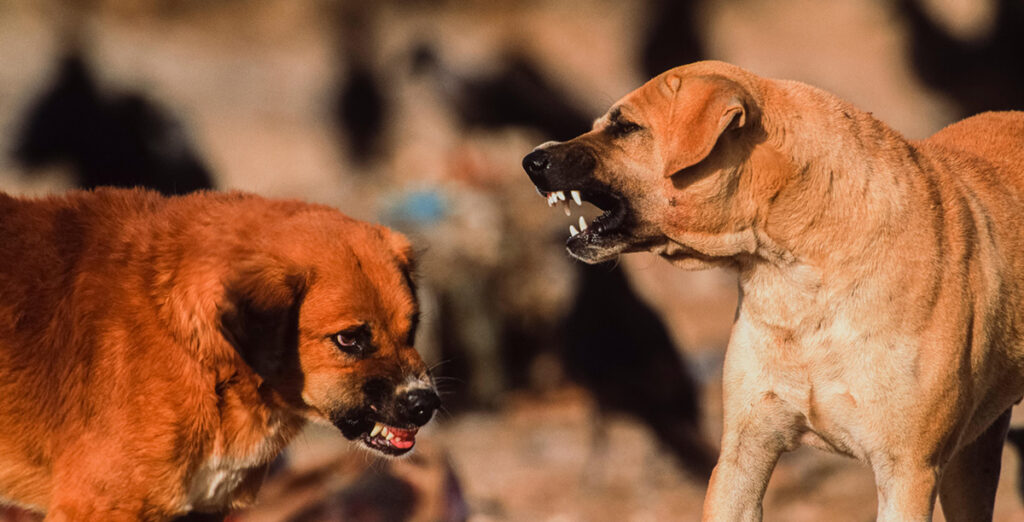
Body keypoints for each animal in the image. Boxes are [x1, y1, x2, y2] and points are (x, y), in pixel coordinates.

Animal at [524, 60, 1024, 517]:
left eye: (625, 127)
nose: (531, 160)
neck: (797, 276)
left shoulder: (907, 471)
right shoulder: (744, 452)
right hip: (973, 457)